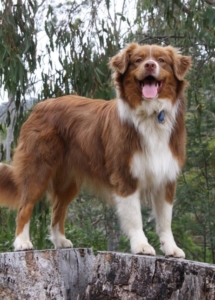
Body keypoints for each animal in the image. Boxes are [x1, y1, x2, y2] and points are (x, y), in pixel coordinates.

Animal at [0, 44, 191, 258]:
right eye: (138, 60)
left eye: (161, 60)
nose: (150, 65)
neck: (150, 114)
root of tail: (39, 105)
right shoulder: (125, 175)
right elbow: (135, 217)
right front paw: (141, 246)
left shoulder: (166, 175)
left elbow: (165, 219)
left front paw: (171, 248)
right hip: (38, 168)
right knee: (25, 207)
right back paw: (22, 242)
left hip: (69, 180)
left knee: (58, 210)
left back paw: (61, 241)